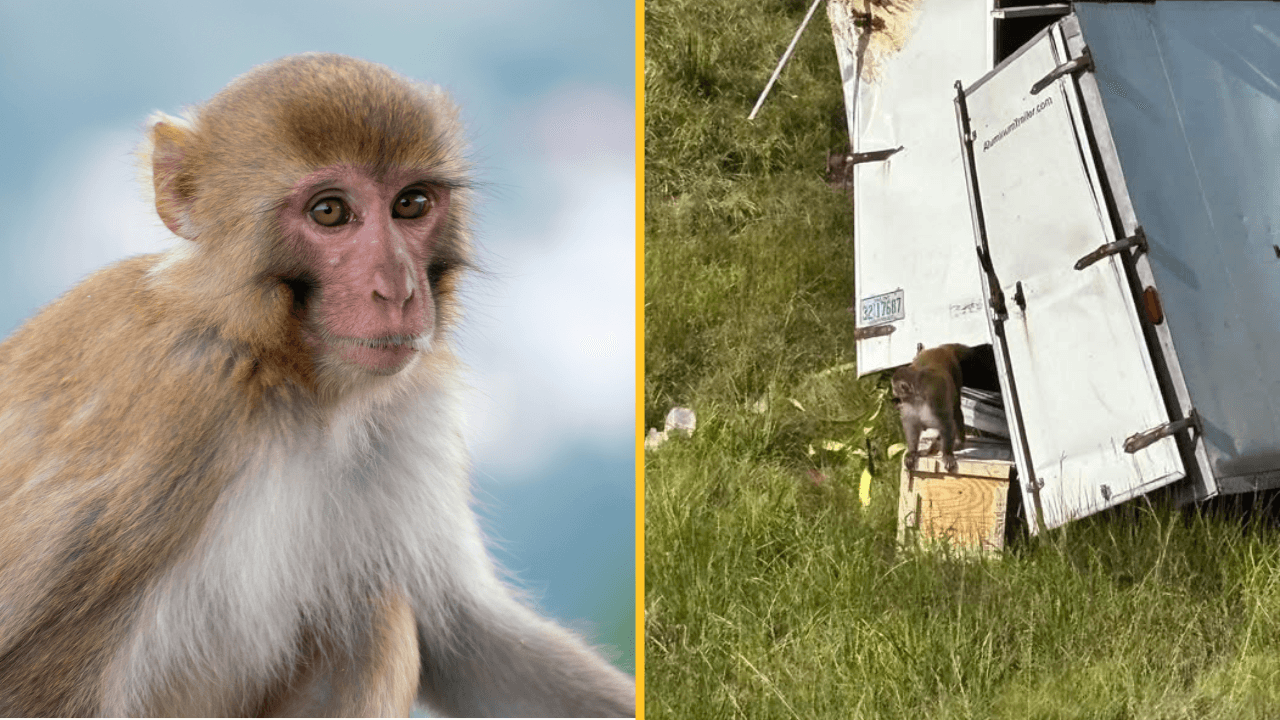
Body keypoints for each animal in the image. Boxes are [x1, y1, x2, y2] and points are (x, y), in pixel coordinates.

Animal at [0, 53, 634, 718]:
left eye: (411, 203)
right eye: (329, 212)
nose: (398, 290)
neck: (290, 377)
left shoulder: (412, 408)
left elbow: (468, 636)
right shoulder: (173, 410)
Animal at [891, 343, 969, 474]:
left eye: (894, 387)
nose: (893, 391)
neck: (917, 396)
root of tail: (939, 348)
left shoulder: (934, 395)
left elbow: (946, 422)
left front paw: (947, 454)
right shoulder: (908, 403)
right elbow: (911, 424)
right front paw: (912, 452)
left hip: (956, 372)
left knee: (956, 409)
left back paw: (958, 442)